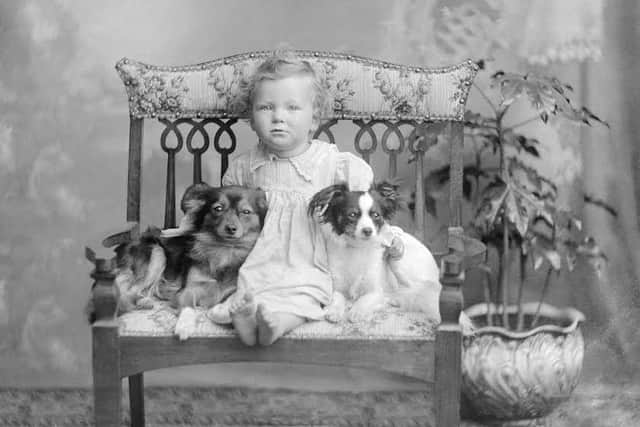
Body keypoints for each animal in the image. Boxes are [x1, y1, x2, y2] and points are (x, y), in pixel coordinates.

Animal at [106, 184, 266, 342]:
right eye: (218, 208)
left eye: (246, 212)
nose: (231, 229)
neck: (224, 250)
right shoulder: (188, 289)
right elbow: (189, 306)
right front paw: (184, 326)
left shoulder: (237, 290)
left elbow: (231, 301)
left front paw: (223, 311)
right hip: (157, 252)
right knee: (127, 294)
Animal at [308, 181, 442, 324]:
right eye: (352, 214)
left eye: (376, 215)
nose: (368, 230)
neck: (358, 247)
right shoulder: (337, 286)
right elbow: (337, 297)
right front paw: (334, 311)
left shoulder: (376, 291)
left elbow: (365, 299)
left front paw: (357, 311)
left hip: (398, 261)